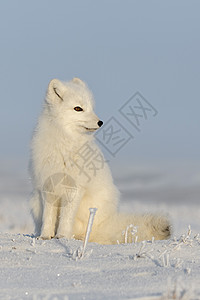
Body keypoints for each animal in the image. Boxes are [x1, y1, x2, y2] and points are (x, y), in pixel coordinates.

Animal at [30, 77, 170, 244]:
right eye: (78, 108)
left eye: (91, 108)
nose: (100, 122)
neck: (65, 143)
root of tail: (105, 225)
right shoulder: (47, 186)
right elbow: (48, 217)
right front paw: (45, 236)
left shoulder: (75, 188)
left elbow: (66, 218)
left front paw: (62, 236)